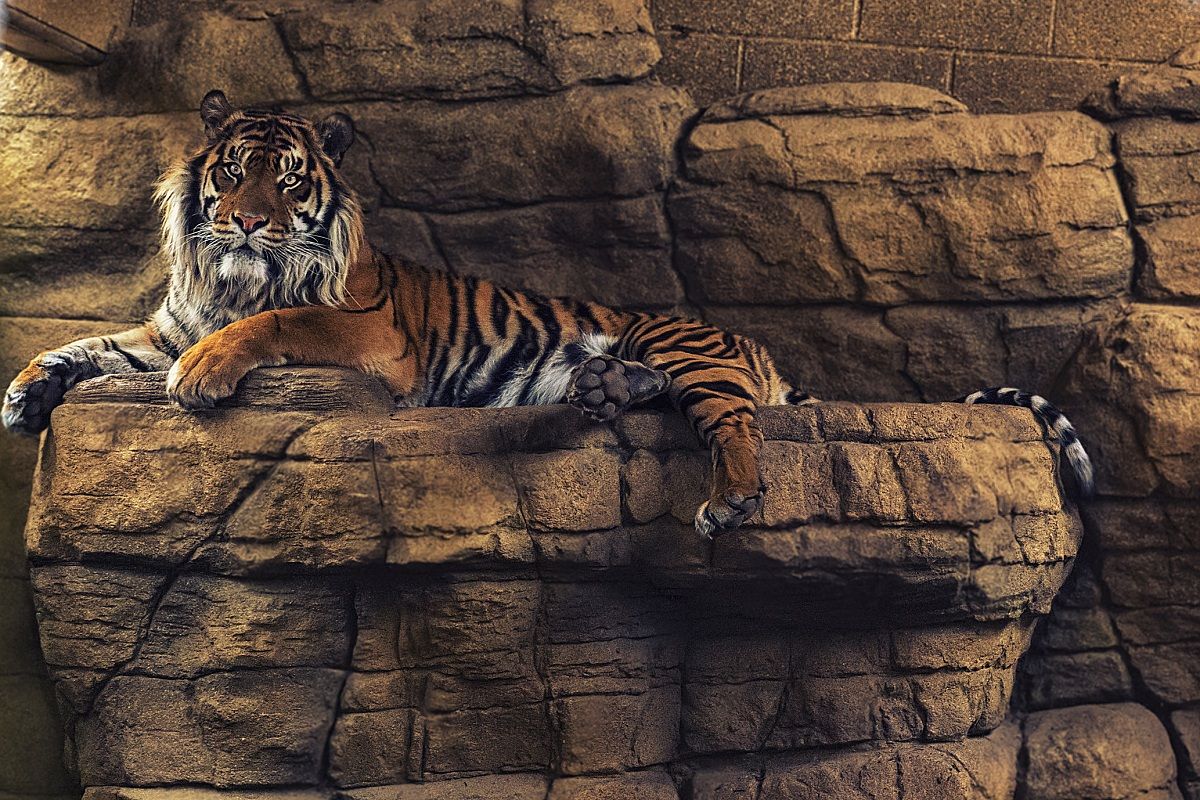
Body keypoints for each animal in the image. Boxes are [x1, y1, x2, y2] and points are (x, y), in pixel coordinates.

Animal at [1, 91, 1095, 537]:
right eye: (229, 171)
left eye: (287, 179)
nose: (243, 220)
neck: (228, 277)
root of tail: (759, 347)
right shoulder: (160, 325)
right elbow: (88, 344)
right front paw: (24, 393)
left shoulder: (369, 334)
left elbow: (271, 326)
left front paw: (205, 377)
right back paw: (598, 388)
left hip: (682, 344)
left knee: (736, 425)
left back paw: (728, 498)